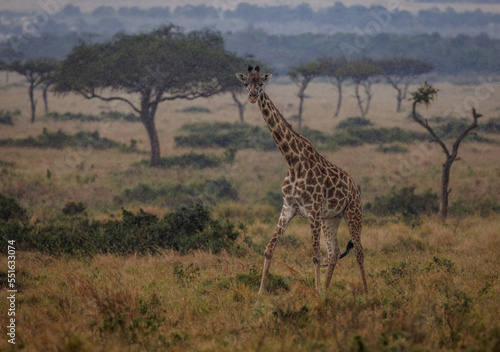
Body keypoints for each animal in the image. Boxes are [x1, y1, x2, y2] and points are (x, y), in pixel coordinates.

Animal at [234, 64, 368, 292]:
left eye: (261, 83)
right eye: (245, 84)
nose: (252, 96)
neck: (292, 162)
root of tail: (354, 186)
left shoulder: (312, 211)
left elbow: (315, 256)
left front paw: (315, 293)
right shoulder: (288, 208)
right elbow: (269, 248)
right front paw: (260, 292)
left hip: (353, 212)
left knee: (358, 250)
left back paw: (366, 293)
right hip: (331, 218)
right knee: (334, 252)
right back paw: (327, 291)